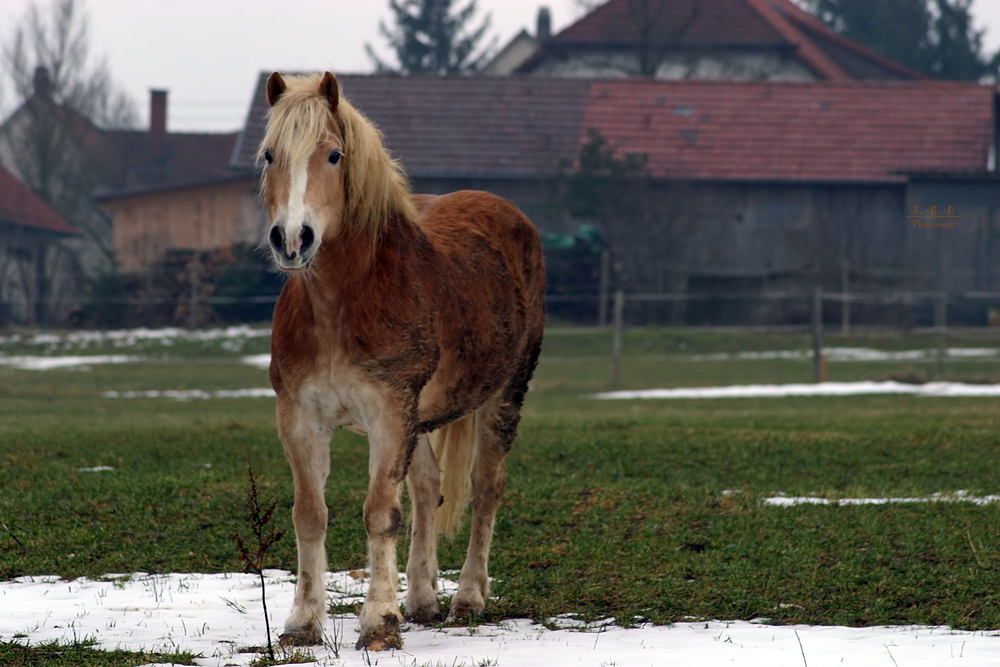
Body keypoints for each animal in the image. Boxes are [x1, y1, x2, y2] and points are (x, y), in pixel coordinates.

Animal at [254, 74, 544, 652]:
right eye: (271, 155)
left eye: (334, 155)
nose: (292, 239)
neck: (344, 303)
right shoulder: (299, 416)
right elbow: (310, 514)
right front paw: (303, 623)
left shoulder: (389, 413)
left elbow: (380, 513)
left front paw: (380, 623)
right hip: (423, 417)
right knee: (429, 490)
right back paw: (424, 600)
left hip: (504, 395)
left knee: (486, 488)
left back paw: (467, 598)